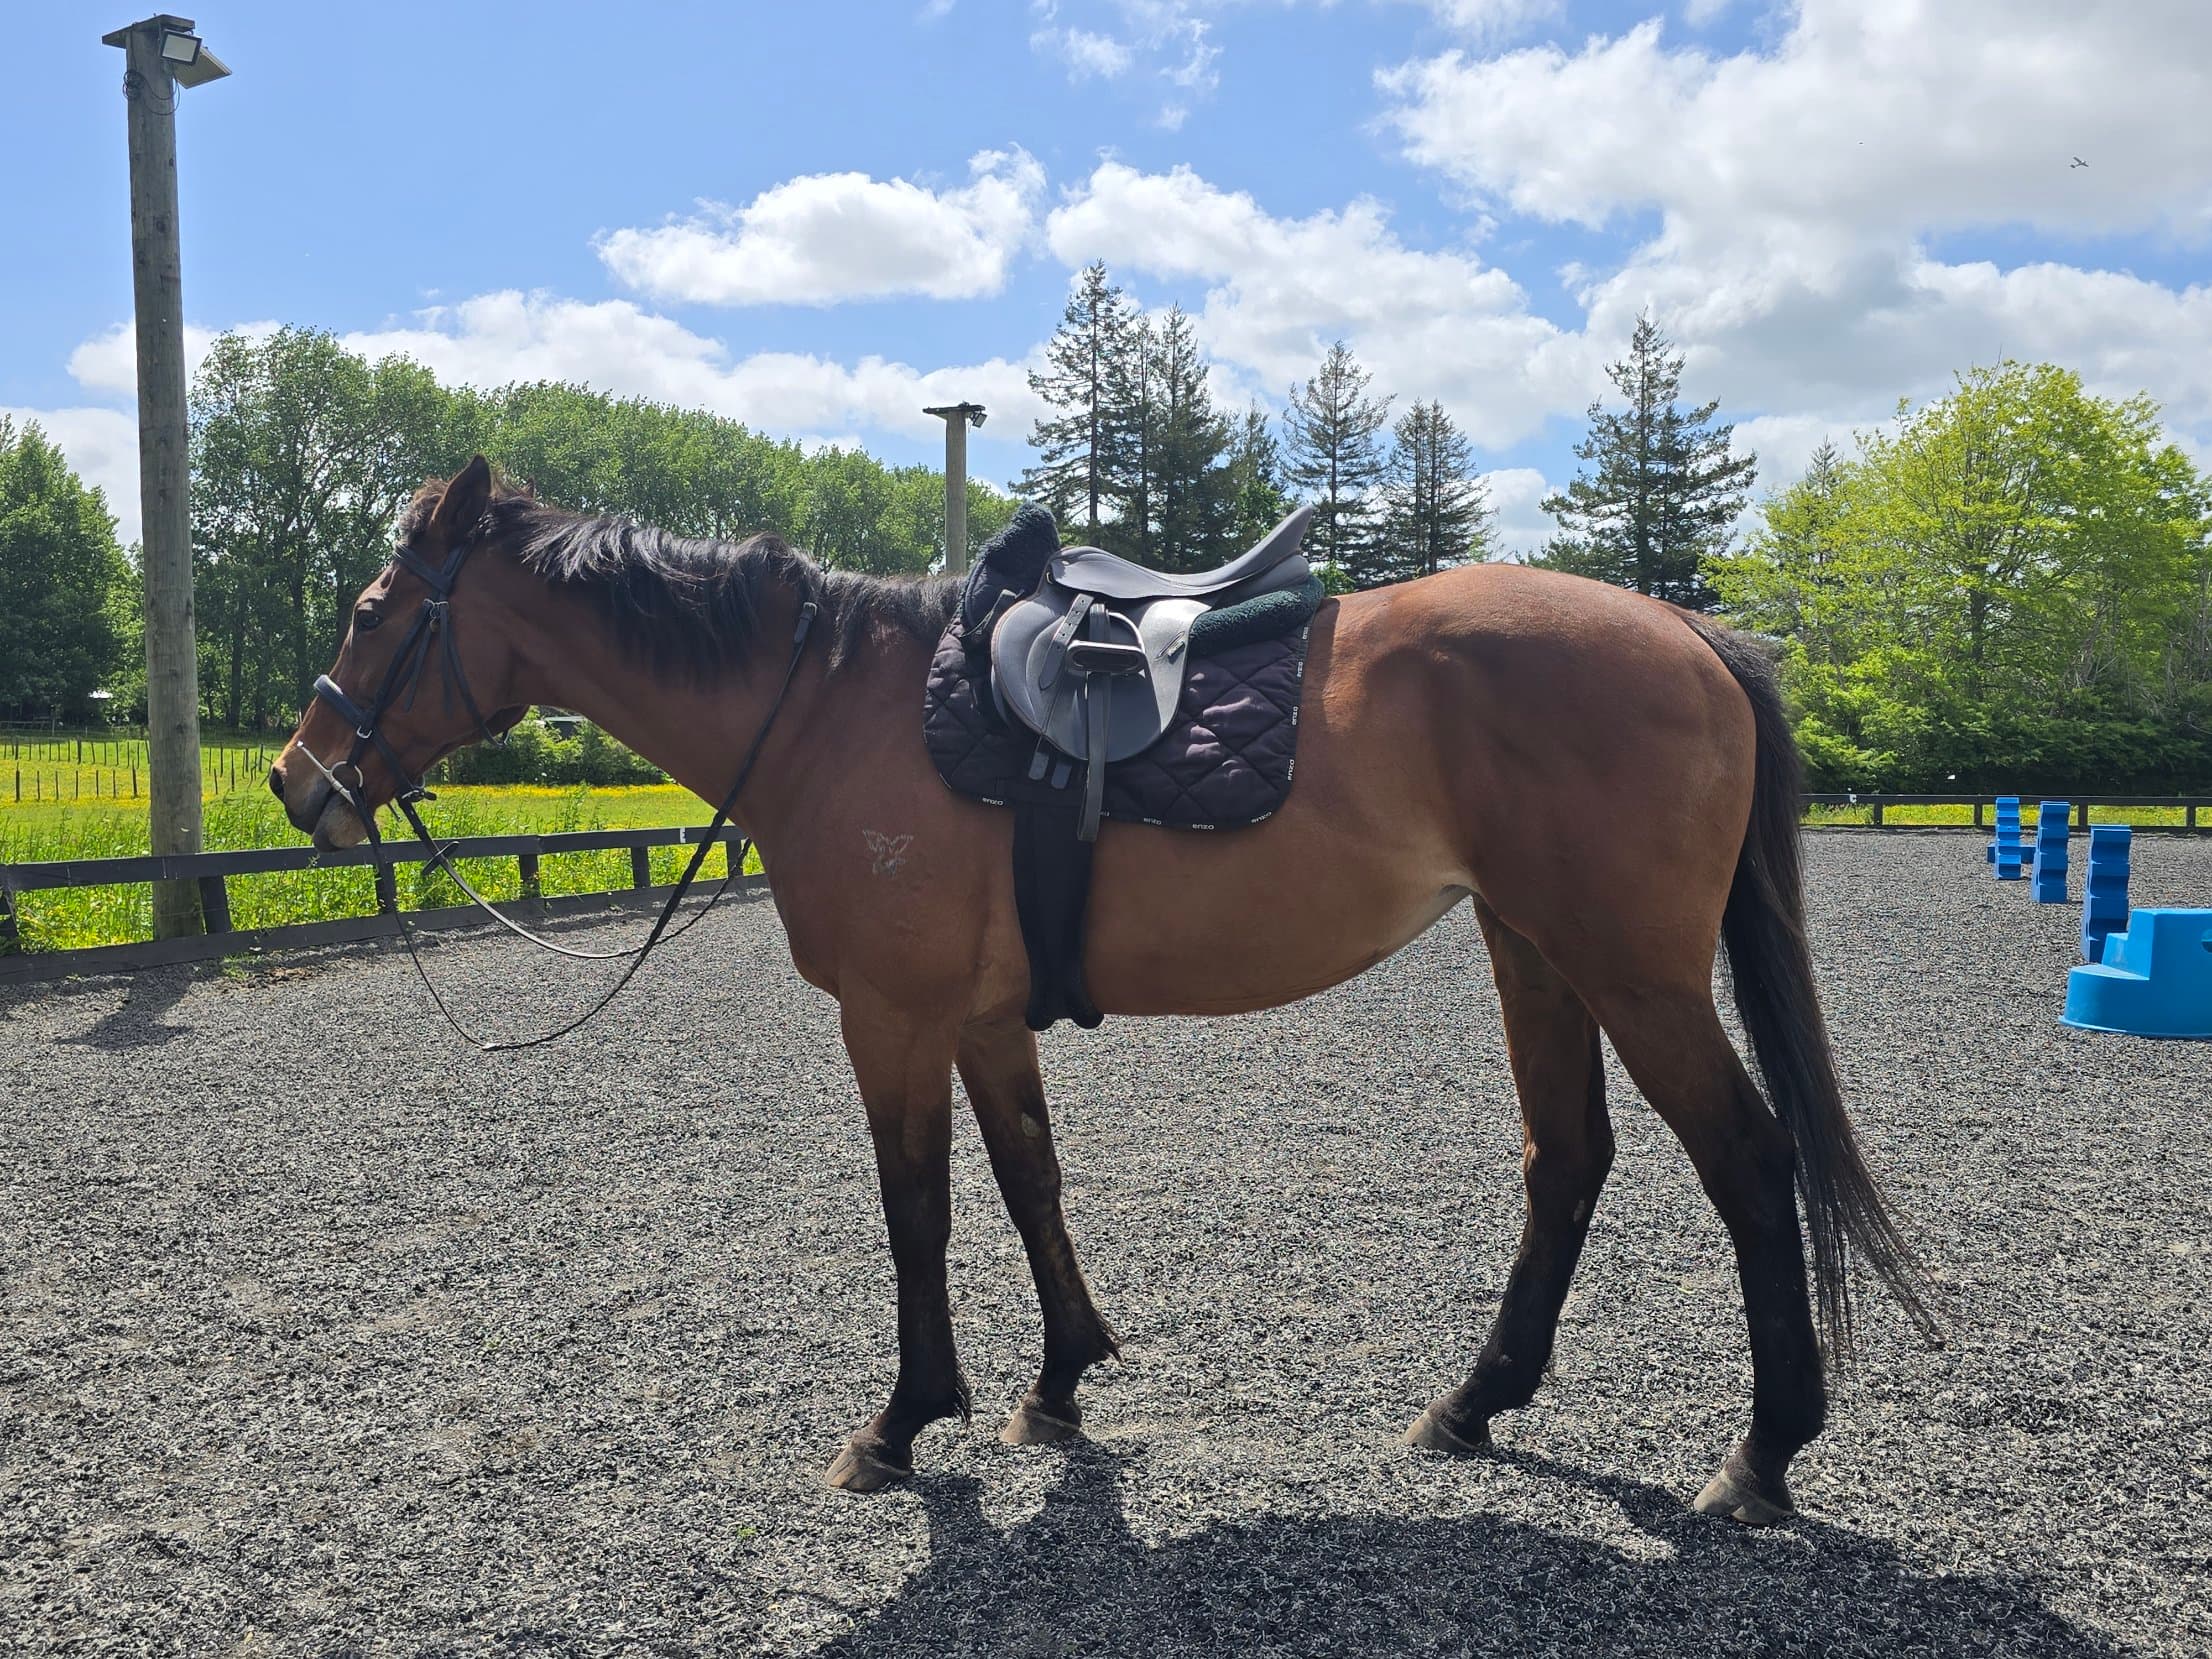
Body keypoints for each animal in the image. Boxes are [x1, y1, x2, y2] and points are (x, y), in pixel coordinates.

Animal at [270, 457, 1930, 1526]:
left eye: (369, 607)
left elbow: (921, 1209)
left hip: (1633, 969)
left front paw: (903, 1417)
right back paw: (1475, 1402)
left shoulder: (892, 1014)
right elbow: (1028, 1179)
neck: (832, 710)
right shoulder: (981, 1016)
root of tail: (1688, 633)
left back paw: (1763, 1452)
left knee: (1748, 1161)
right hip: (1536, 949)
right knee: (1567, 1159)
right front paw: (1062, 1377)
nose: (297, 781)